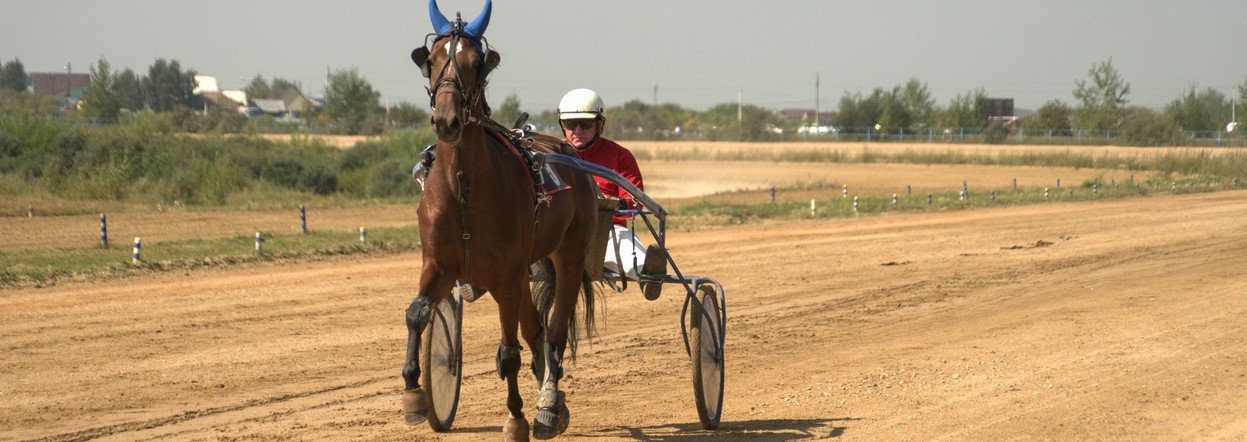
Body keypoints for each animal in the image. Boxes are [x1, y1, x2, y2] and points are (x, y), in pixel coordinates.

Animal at [396, 1, 596, 439]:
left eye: (476, 63)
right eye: (432, 60)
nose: (447, 121)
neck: (465, 188)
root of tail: (567, 152)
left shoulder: (505, 277)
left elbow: (508, 354)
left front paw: (516, 418)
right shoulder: (438, 265)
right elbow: (417, 314)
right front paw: (415, 395)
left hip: (568, 256)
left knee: (553, 334)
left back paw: (548, 407)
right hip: (522, 275)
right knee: (536, 333)